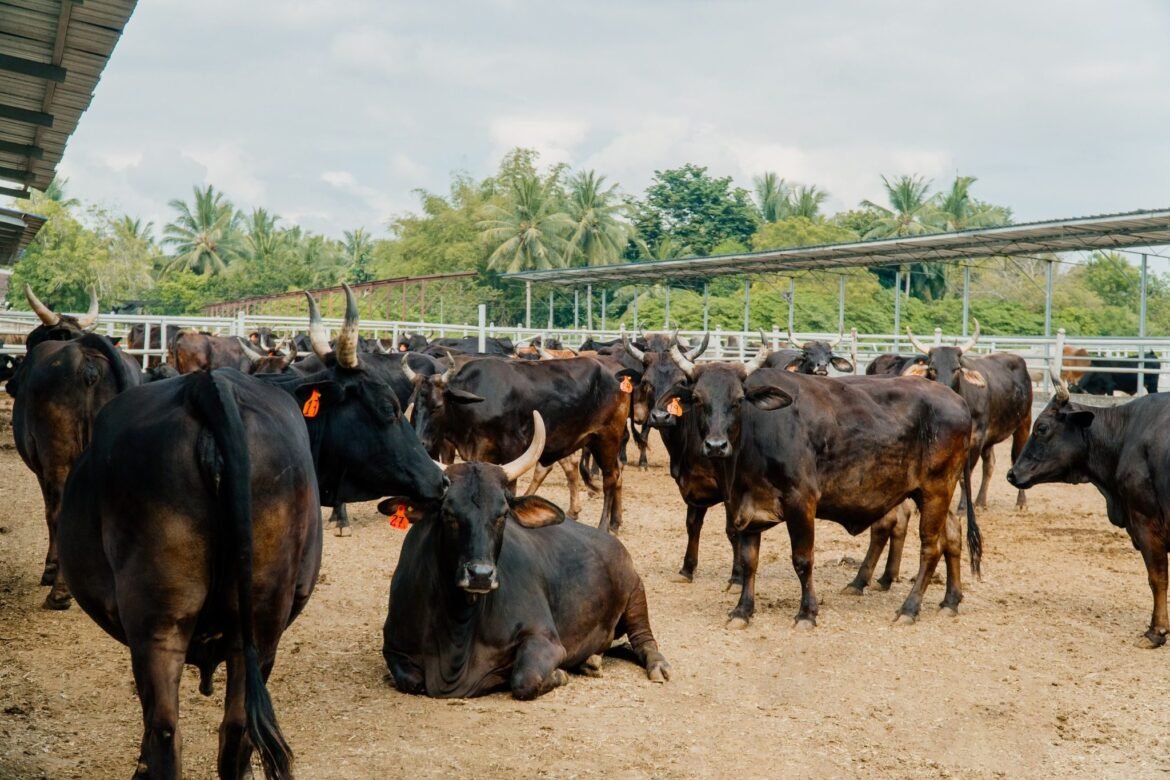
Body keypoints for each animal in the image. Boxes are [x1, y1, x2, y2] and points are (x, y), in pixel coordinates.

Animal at [7, 286, 142, 608]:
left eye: (30, 341)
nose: (11, 385)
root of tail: (87, 353)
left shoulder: (42, 467)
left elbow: (48, 512)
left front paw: (50, 568)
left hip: (58, 455)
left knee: (58, 511)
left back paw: (59, 592)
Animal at [55, 284, 447, 778]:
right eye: (390, 409)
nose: (440, 480)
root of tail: (207, 389)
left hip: (169, 626)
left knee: (174, 731)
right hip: (249, 623)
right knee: (223, 731)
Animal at [380, 411, 669, 699]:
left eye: (503, 514)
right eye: (448, 512)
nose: (481, 575)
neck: (459, 627)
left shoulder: (544, 639)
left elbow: (524, 679)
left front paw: (559, 674)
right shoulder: (393, 647)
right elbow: (411, 680)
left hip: (635, 595)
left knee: (644, 638)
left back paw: (656, 666)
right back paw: (591, 661)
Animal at [404, 351, 633, 533]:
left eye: (437, 406)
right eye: (414, 404)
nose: (420, 443)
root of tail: (615, 376)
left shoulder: (512, 450)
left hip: (607, 438)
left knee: (610, 479)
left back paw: (604, 526)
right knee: (617, 473)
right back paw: (615, 522)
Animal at [656, 343, 977, 629]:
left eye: (737, 399)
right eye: (698, 399)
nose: (716, 445)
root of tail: (958, 401)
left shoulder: (801, 502)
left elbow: (802, 559)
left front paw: (806, 613)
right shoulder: (744, 506)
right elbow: (749, 561)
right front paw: (742, 611)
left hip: (935, 490)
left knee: (930, 547)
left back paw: (909, 609)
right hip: (936, 493)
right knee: (952, 535)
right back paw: (950, 601)